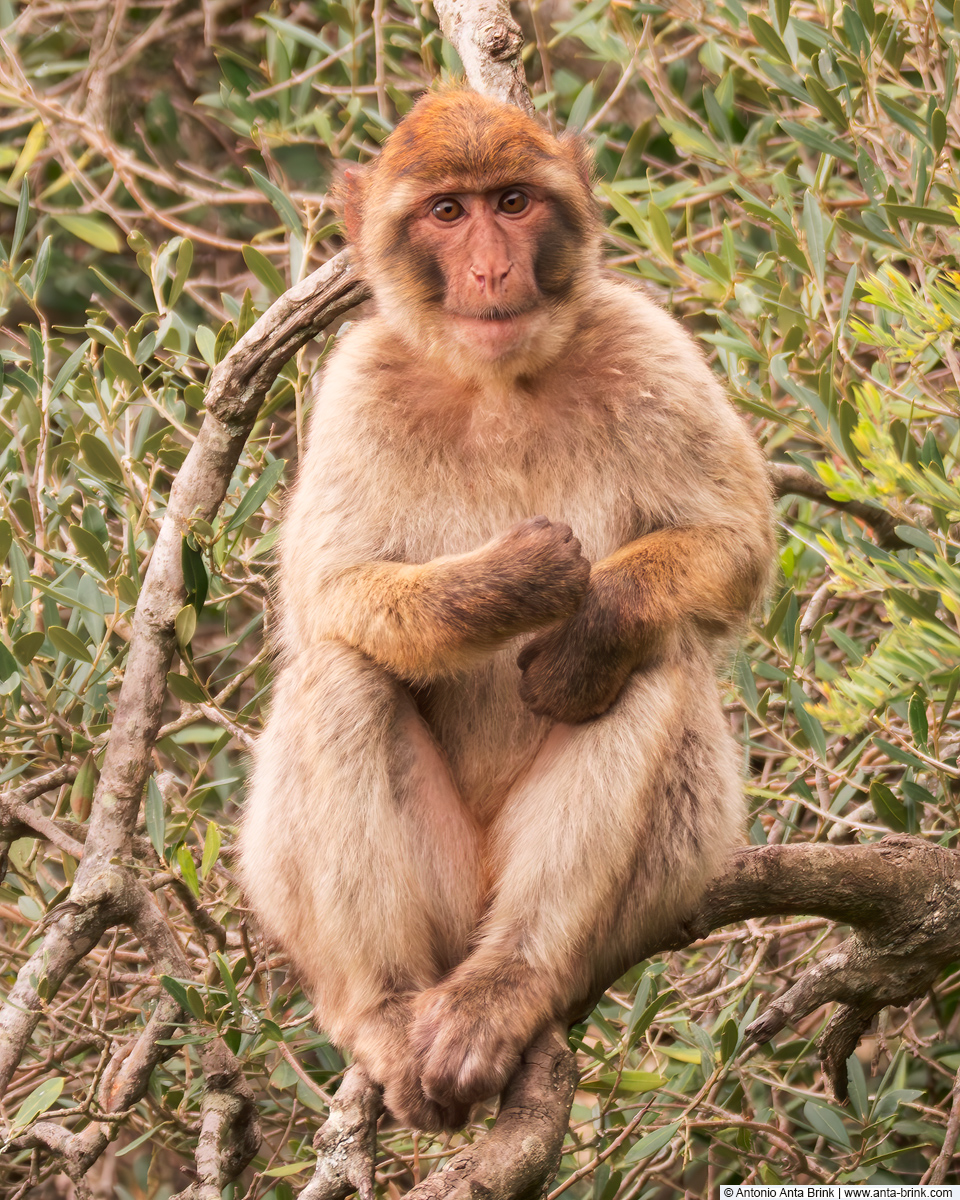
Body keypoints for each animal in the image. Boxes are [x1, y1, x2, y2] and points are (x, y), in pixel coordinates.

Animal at [237, 87, 772, 1132]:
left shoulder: (644, 341)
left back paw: (510, 985)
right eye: (448, 213)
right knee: (342, 667)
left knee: (657, 659)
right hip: (420, 896)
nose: (490, 268)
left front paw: (589, 622)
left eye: (514, 202)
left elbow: (735, 543)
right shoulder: (358, 383)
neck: (495, 383)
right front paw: (515, 582)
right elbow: (326, 596)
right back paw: (384, 1006)